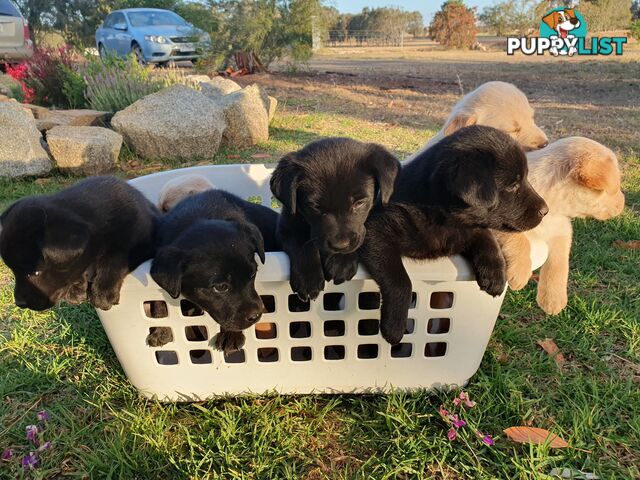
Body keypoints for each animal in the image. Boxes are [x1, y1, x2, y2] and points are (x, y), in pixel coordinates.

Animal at [0, 176, 159, 312]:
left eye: (35, 273)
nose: (19, 303)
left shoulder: (144, 240)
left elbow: (115, 258)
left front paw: (102, 292)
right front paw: (75, 289)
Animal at [150, 190, 280, 352]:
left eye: (252, 275)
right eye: (221, 287)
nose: (256, 316)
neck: (197, 215)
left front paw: (231, 334)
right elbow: (157, 300)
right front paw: (161, 329)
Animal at [270, 137, 400, 300]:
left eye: (359, 202)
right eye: (315, 206)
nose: (340, 246)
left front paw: (342, 262)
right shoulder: (285, 227)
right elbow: (302, 243)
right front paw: (309, 278)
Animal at [362, 126, 548, 344]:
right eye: (512, 185)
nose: (546, 211)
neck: (444, 219)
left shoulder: (470, 230)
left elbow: (488, 240)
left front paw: (495, 274)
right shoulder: (376, 230)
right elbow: (400, 279)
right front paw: (394, 326)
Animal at [496, 137, 624, 316]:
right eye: (615, 188)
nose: (623, 204)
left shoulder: (562, 231)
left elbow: (559, 264)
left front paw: (553, 299)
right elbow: (518, 237)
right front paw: (521, 272)